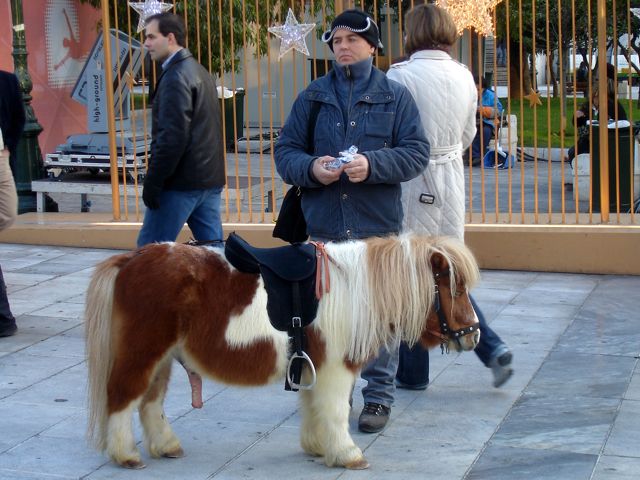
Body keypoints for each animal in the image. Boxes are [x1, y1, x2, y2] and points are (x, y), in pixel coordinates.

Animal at [86, 234, 480, 470]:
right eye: (456, 289)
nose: (474, 335)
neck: (355, 289)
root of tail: (132, 259)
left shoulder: (310, 365)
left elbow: (313, 407)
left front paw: (318, 447)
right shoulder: (335, 368)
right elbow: (336, 410)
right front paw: (347, 454)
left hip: (163, 357)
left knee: (150, 402)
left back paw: (166, 446)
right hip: (144, 351)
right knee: (123, 397)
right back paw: (126, 454)